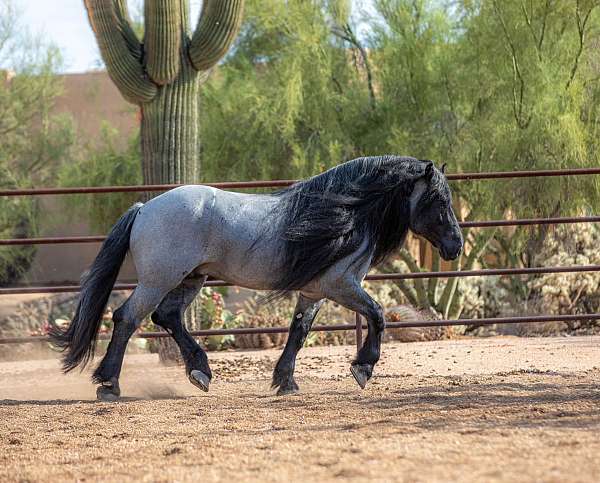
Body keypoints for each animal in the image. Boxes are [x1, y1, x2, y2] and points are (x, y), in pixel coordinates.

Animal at [51, 156, 464, 400]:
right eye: (439, 201)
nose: (456, 246)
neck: (345, 213)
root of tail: (144, 207)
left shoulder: (314, 292)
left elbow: (298, 333)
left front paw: (285, 383)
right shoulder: (341, 285)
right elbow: (378, 315)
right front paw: (362, 368)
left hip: (190, 280)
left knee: (166, 317)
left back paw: (200, 372)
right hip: (159, 280)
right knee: (127, 318)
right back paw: (109, 384)